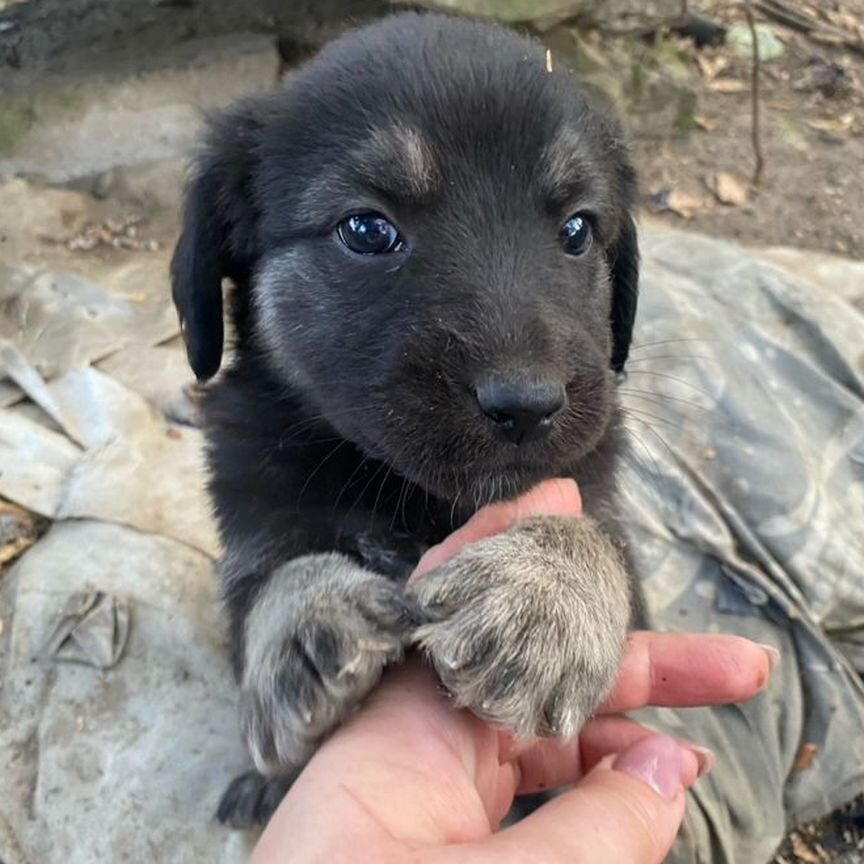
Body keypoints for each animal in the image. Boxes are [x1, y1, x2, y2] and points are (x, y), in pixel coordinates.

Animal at [172, 10, 636, 828]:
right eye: (366, 230)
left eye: (578, 230)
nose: (528, 404)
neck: (410, 497)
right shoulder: (253, 529)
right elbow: (273, 581)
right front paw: (303, 621)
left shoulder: (606, 504)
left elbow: (595, 538)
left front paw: (543, 594)